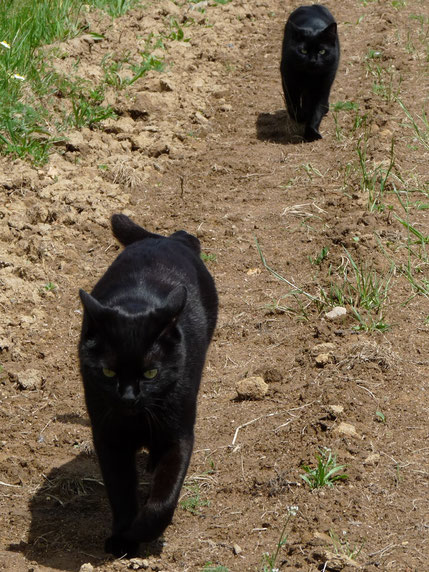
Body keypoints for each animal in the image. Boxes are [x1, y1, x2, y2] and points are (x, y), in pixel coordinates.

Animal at [77, 214, 217, 560]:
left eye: (151, 373)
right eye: (109, 372)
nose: (128, 397)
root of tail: (168, 239)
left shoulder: (177, 436)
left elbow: (164, 499)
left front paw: (140, 530)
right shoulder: (108, 437)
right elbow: (120, 492)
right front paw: (122, 539)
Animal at [280, 5, 340, 143]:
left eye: (322, 51)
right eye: (303, 51)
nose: (313, 60)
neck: (309, 77)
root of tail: (310, 6)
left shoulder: (323, 87)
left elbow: (316, 111)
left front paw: (311, 133)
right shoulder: (289, 81)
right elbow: (293, 104)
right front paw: (300, 117)